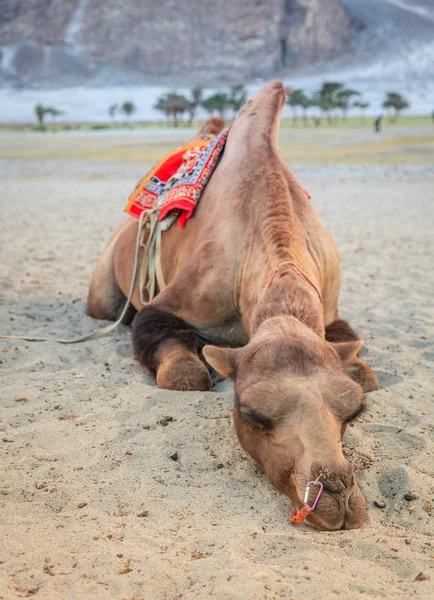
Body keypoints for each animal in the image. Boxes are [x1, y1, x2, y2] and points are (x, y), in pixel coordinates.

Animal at [87, 82, 376, 532]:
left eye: (354, 412)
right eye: (252, 414)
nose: (336, 498)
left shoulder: (330, 314)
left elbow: (364, 371)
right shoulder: (177, 301)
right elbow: (184, 373)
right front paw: (199, 370)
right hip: (104, 289)